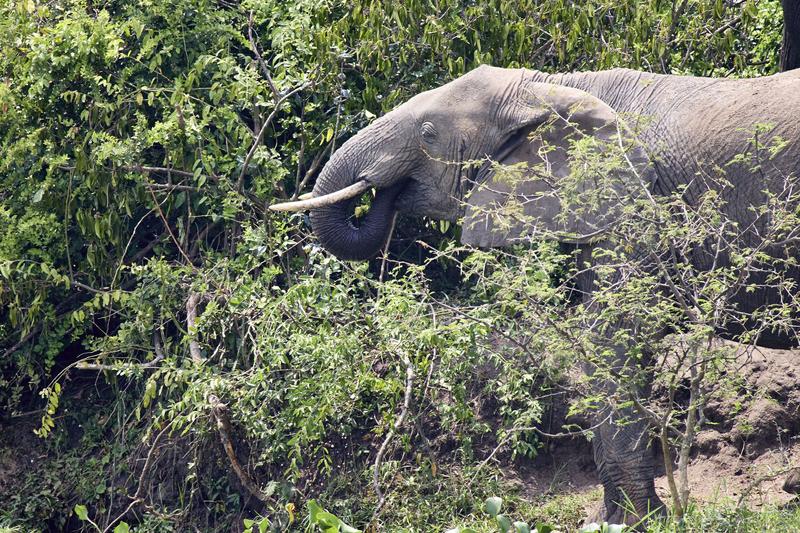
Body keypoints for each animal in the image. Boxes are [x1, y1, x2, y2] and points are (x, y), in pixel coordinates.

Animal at [270, 65, 800, 524]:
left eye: (428, 133)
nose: (386, 193)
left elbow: (616, 335)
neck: (553, 87)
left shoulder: (634, 201)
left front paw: (629, 523)